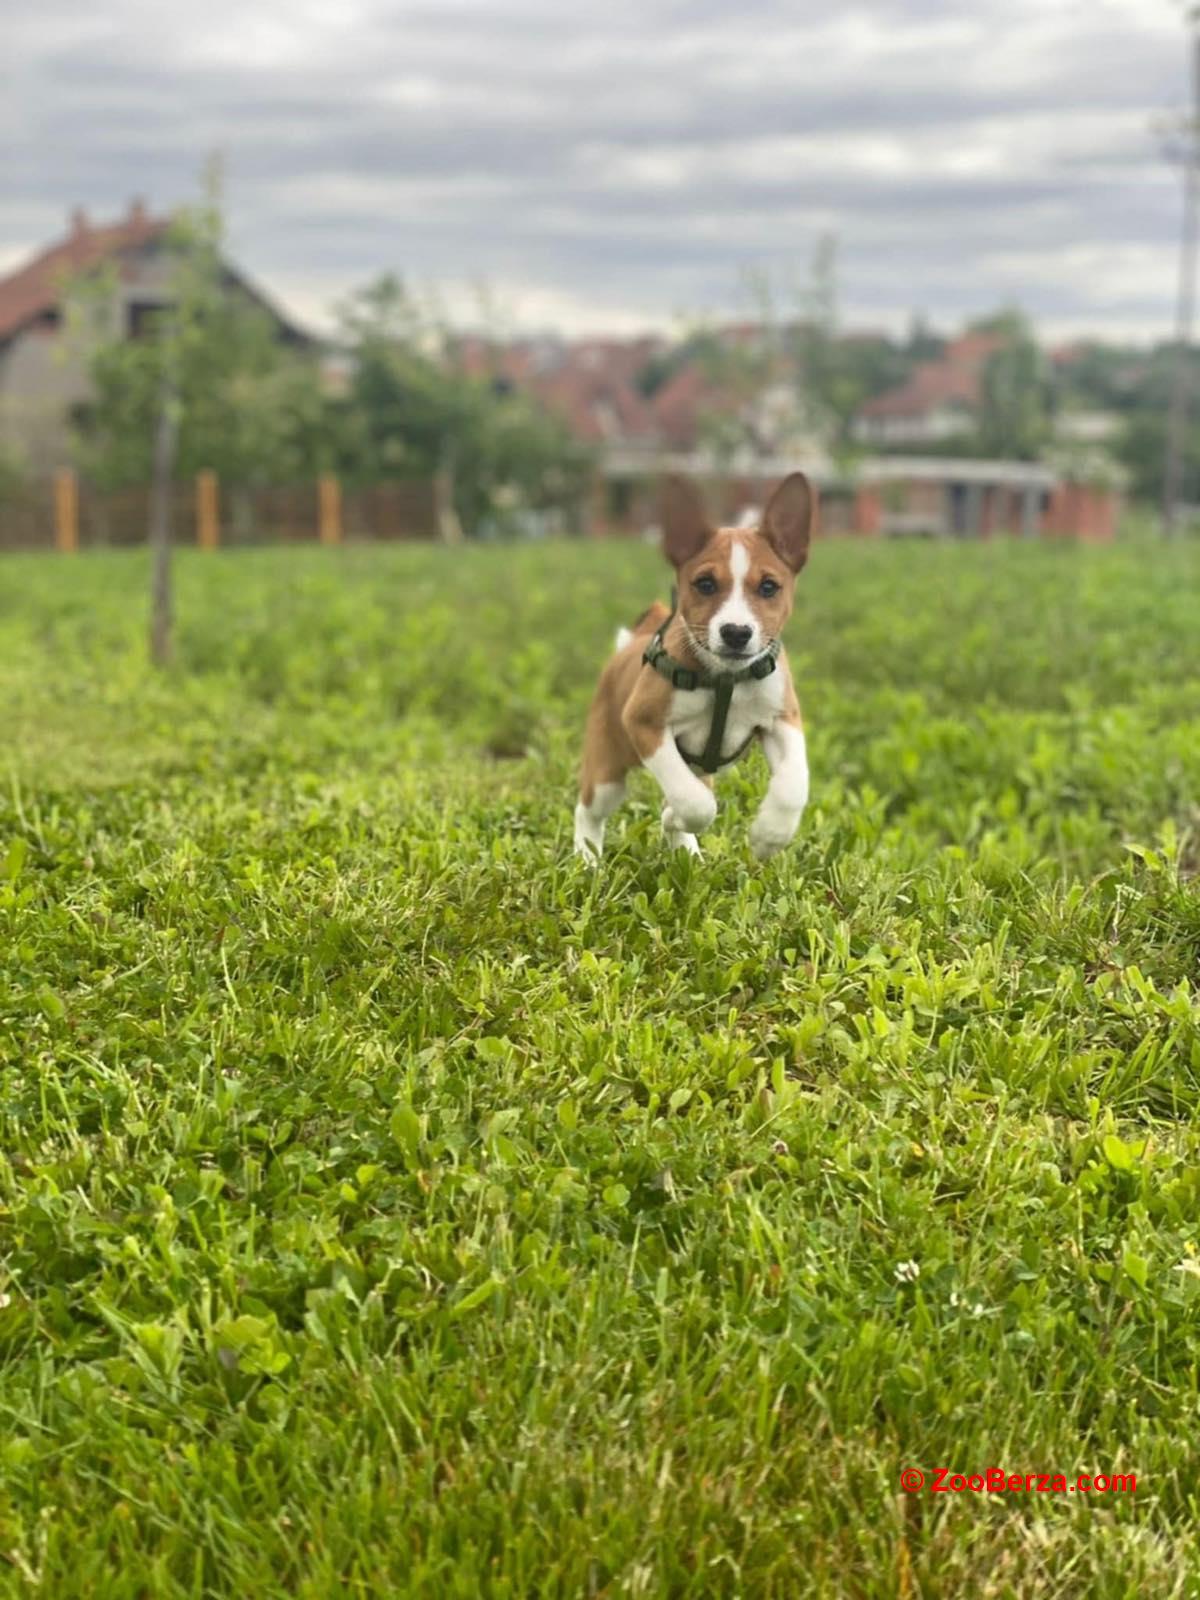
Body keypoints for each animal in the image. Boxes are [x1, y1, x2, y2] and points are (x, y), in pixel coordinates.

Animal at [576, 473, 819, 864]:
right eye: (705, 584)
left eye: (769, 587)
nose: (736, 633)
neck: (725, 679)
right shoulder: (644, 723)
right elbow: (696, 804)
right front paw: (679, 815)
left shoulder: (782, 719)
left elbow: (794, 785)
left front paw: (770, 836)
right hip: (607, 771)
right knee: (588, 810)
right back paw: (587, 860)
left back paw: (685, 854)